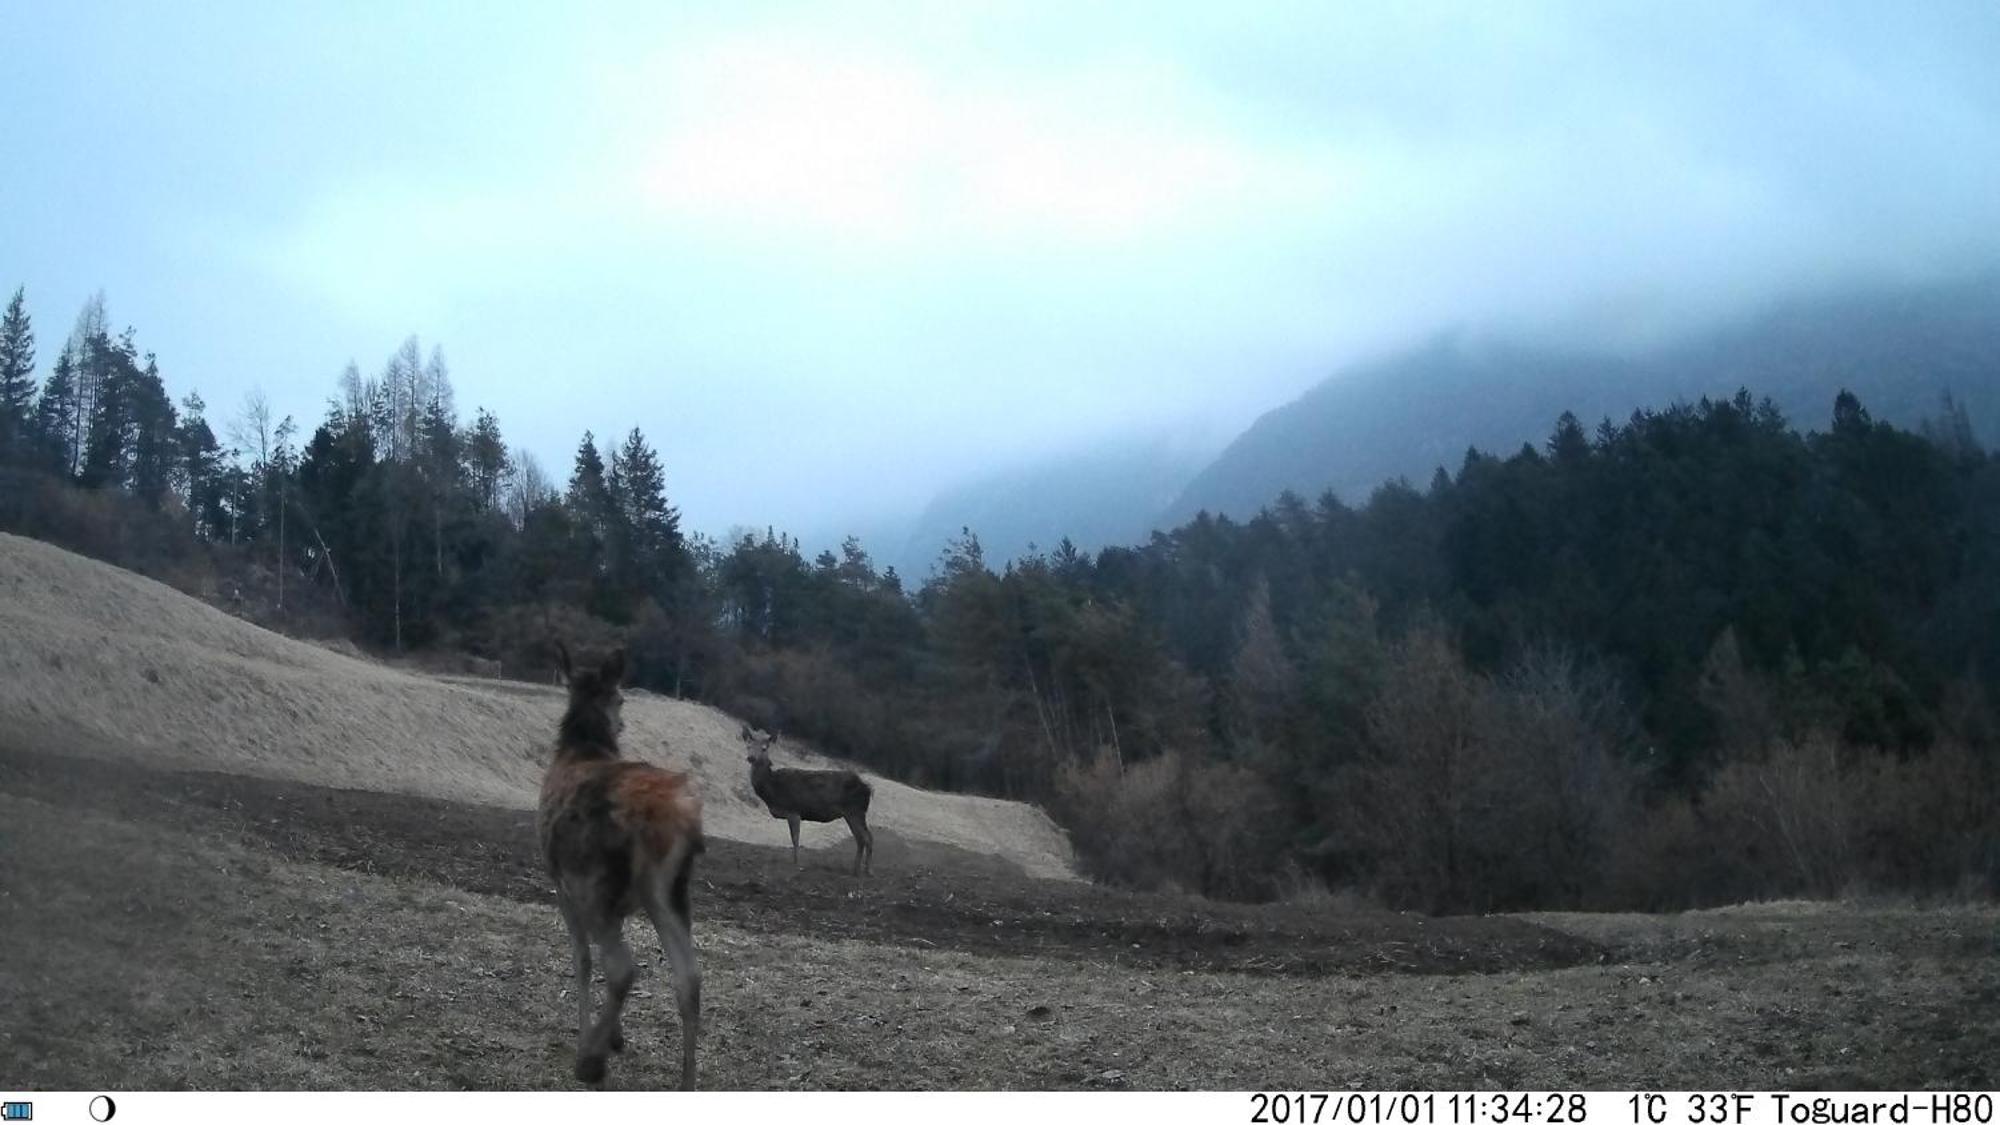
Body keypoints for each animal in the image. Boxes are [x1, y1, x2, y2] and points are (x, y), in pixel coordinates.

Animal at [544, 640, 708, 1088]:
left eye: (621, 697)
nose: (621, 725)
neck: (580, 750)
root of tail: (676, 819)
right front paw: (615, 1036)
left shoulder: (561, 884)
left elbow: (582, 961)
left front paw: (596, 1038)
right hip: (670, 892)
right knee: (689, 977)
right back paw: (686, 1082)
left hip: (596, 882)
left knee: (622, 967)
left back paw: (589, 1061)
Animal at [744, 720, 876, 872]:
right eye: (748, 746)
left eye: (764, 748)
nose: (751, 758)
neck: (773, 789)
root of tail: (868, 789)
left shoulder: (793, 810)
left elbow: (795, 839)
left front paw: (796, 863)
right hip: (853, 813)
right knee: (862, 838)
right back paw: (856, 869)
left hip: (856, 811)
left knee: (867, 838)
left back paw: (867, 870)